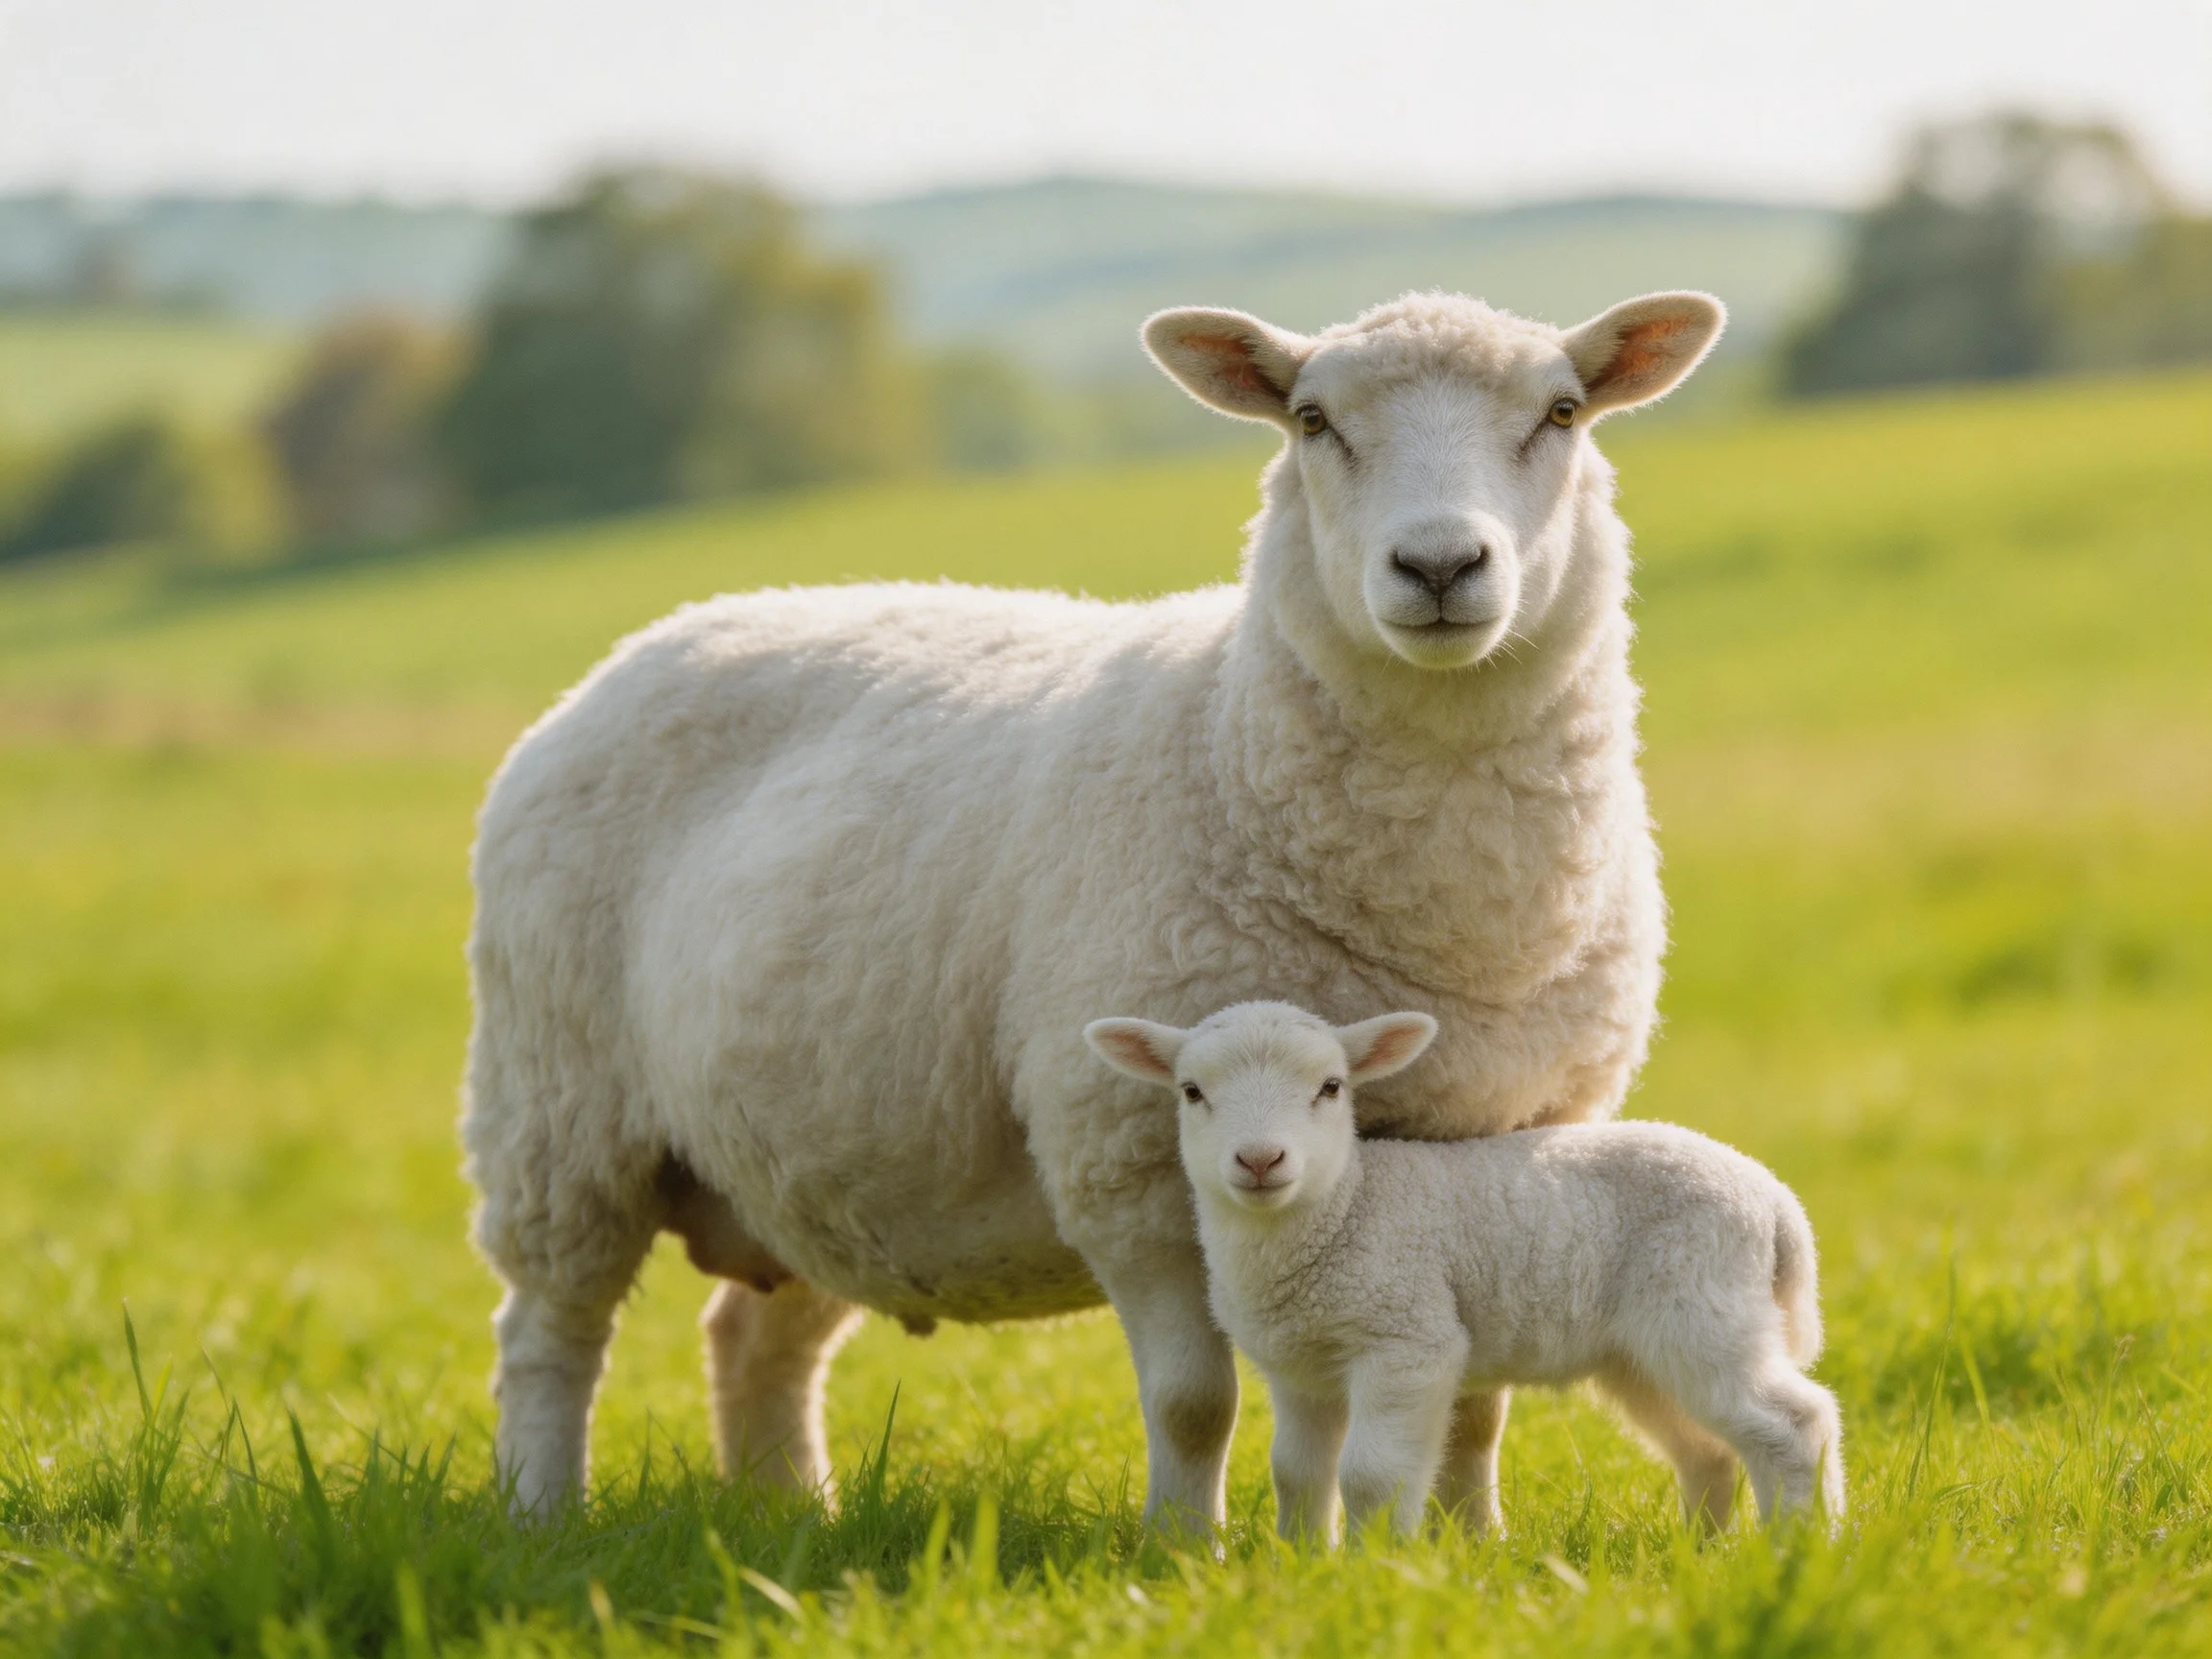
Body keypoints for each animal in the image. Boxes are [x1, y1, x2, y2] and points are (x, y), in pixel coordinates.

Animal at [462, 288, 1725, 1522]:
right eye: (1312, 420)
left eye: (1561, 413)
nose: (1439, 565)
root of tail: (653, 640)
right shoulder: (1131, 1163)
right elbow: (1193, 1405)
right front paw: (1184, 1551)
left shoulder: (1517, 1146)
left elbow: (1477, 1403)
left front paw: (1468, 1542)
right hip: (560, 1110)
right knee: (548, 1333)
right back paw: (542, 1517)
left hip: (815, 1152)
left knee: (756, 1338)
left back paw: (790, 1516)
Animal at [1085, 1001, 1845, 1541]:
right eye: (1191, 1091)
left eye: (1331, 1087)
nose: (1260, 1160)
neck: (1347, 1207)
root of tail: (1777, 1202)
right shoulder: (1302, 1366)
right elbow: (1297, 1473)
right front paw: (1303, 1561)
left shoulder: (1409, 1339)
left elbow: (1372, 1476)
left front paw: (1374, 1569)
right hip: (1644, 1351)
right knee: (1709, 1448)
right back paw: (1701, 1551)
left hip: (1703, 1304)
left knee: (1794, 1423)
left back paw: (1801, 1547)